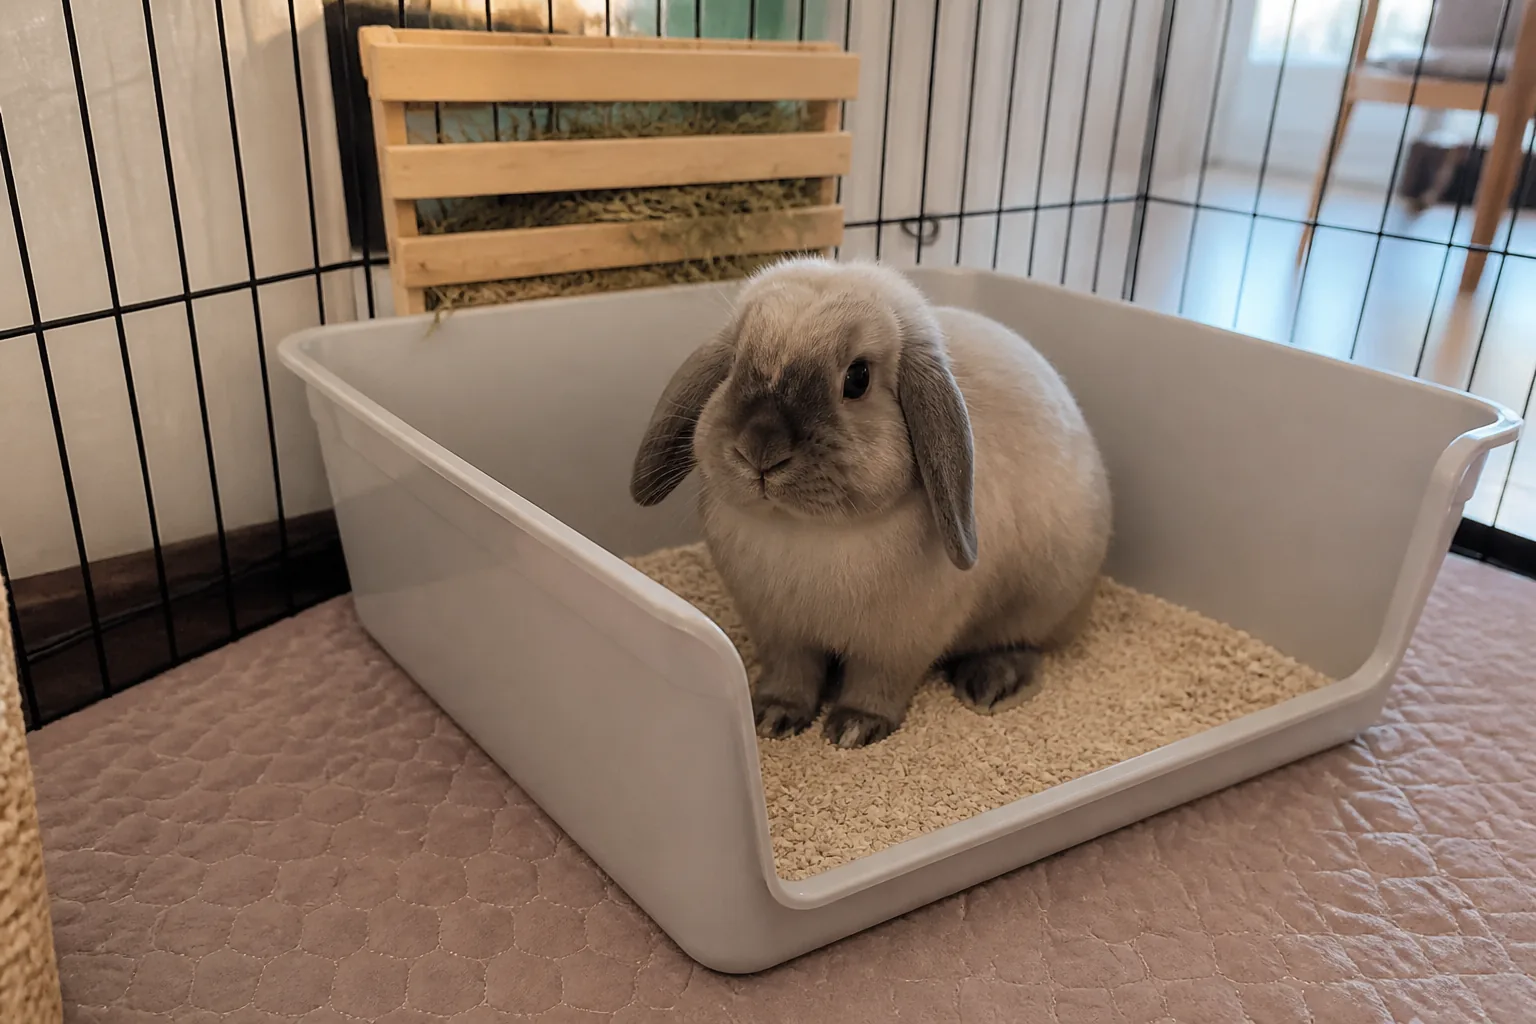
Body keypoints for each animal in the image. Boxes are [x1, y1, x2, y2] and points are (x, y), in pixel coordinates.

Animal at [630, 257, 1111, 748]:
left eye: (857, 378)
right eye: (732, 366)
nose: (759, 450)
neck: (805, 530)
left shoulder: (899, 645)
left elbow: (877, 683)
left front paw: (853, 728)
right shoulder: (777, 632)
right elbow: (791, 674)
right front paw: (773, 717)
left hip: (1040, 601)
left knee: (1024, 644)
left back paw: (993, 684)